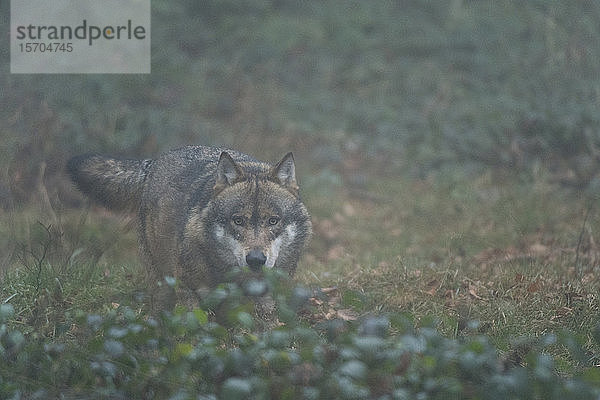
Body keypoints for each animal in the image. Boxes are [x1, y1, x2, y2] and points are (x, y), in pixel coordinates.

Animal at [68, 145, 314, 308]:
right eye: (238, 220)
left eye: (273, 220)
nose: (255, 260)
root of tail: (153, 162)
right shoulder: (188, 291)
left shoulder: (265, 296)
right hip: (160, 281)